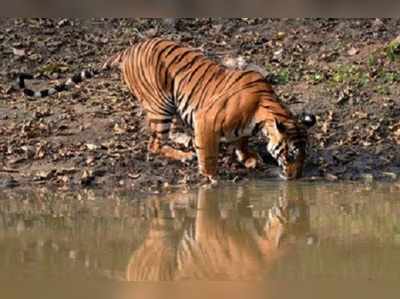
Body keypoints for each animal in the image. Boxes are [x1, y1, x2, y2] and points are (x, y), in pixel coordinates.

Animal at [16, 37, 316, 180]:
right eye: (291, 155)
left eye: (304, 156)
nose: (295, 178)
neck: (263, 114)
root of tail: (128, 49)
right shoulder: (206, 120)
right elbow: (208, 155)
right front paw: (211, 179)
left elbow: (240, 140)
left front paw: (249, 157)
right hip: (161, 103)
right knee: (154, 144)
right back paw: (183, 154)